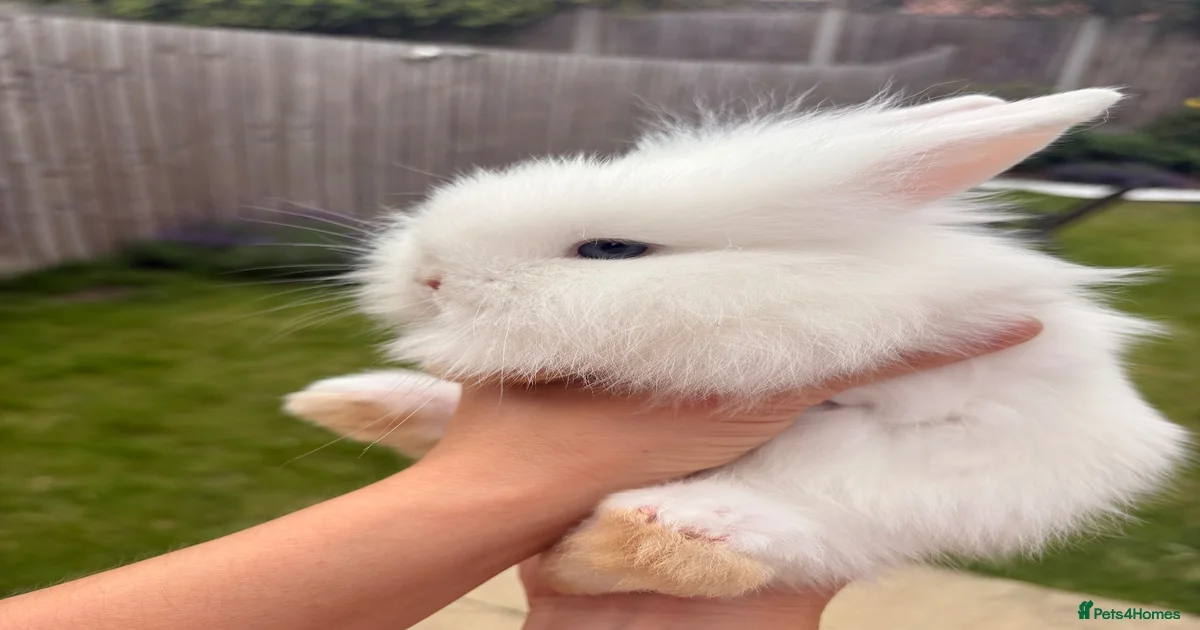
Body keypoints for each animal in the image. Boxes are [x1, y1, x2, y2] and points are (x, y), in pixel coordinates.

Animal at [284, 88, 1190, 598]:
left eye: (609, 249)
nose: (427, 276)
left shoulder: (988, 427)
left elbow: (838, 488)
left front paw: (659, 534)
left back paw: (649, 536)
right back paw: (357, 404)